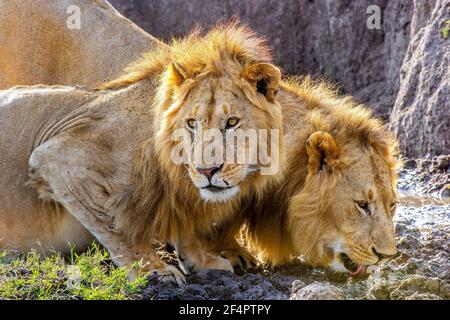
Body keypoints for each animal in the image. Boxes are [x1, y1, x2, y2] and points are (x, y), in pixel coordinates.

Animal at [0, 25, 284, 284]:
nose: (206, 171)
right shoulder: (57, 157)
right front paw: (152, 269)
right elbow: (116, 226)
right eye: (192, 123)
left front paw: (202, 259)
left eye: (232, 122)